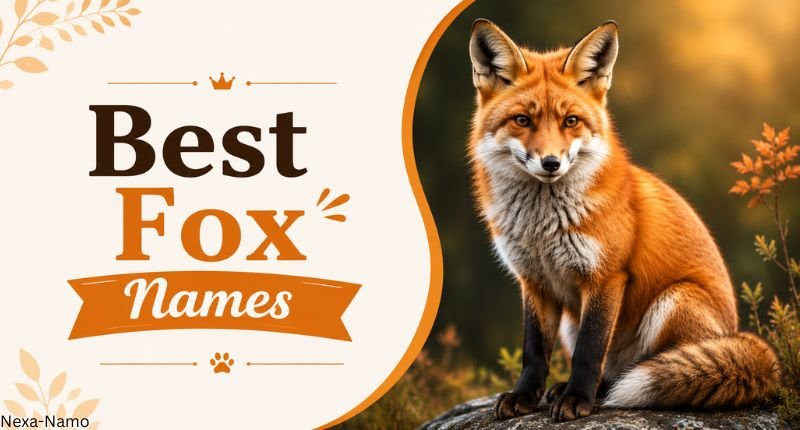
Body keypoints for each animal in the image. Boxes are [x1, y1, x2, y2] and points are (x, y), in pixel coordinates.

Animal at [467, 19, 782, 422]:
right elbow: (534, 351)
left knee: (646, 368)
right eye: (522, 120)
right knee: (614, 370)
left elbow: (589, 350)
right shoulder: (534, 281)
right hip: (572, 321)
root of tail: (737, 333)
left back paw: (600, 391)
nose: (551, 163)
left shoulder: (606, 275)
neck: (542, 228)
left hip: (674, 300)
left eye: (571, 121)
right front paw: (525, 397)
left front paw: (577, 400)